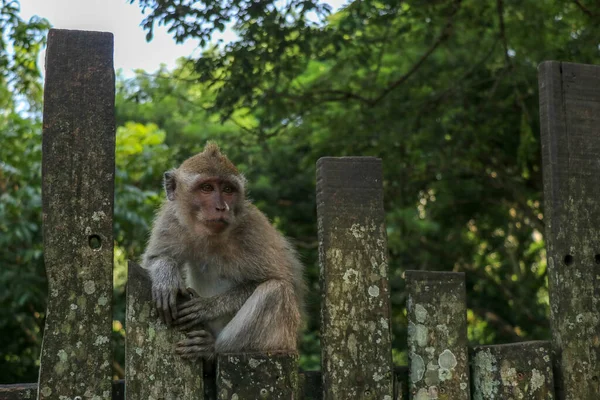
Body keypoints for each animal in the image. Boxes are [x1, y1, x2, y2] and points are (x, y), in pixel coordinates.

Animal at [141, 141, 304, 360]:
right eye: (207, 188)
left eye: (228, 189)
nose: (221, 207)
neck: (210, 235)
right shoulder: (171, 218)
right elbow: (154, 258)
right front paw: (166, 277)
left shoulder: (253, 229)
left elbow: (284, 281)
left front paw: (207, 307)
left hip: (283, 341)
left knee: (277, 291)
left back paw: (212, 348)